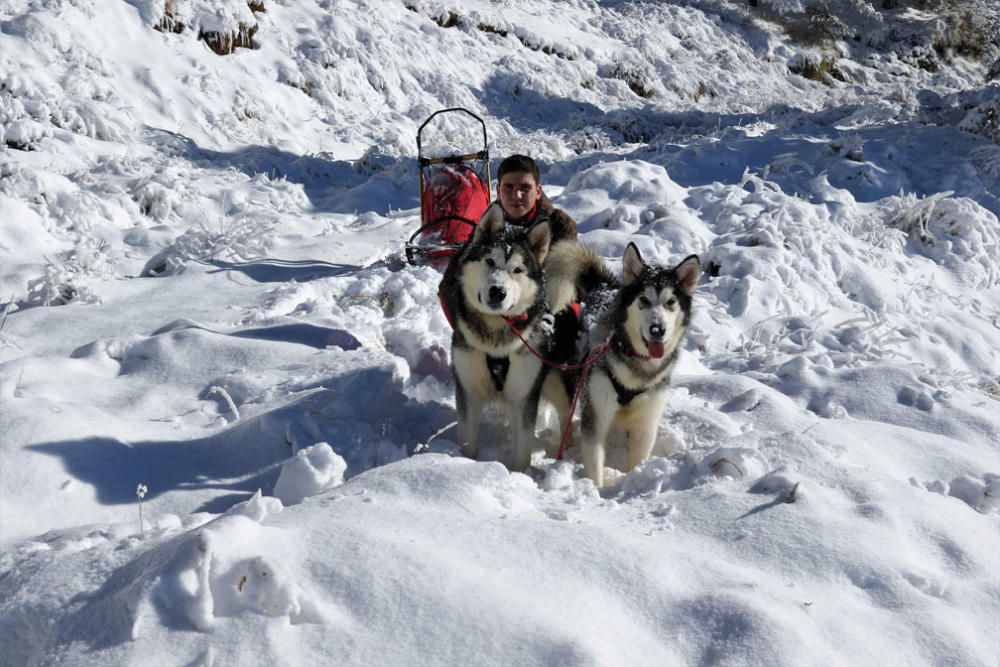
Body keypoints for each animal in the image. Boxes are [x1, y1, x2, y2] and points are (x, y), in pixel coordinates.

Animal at [444, 206, 576, 472]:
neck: (495, 340)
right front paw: (465, 466)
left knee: (566, 415)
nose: (498, 291)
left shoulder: (524, 397)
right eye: (490, 261)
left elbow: (522, 450)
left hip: (558, 383)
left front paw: (518, 475)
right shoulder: (469, 391)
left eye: (517, 270)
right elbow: (467, 442)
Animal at [544, 240, 700, 486]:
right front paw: (595, 489)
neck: (638, 370)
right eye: (644, 300)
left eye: (670, 302)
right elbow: (595, 463)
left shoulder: (646, 423)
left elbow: (638, 460)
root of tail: (604, 289)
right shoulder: (596, 416)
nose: (658, 330)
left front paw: (633, 481)